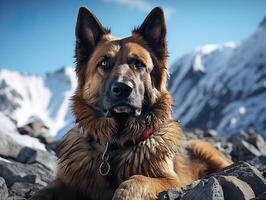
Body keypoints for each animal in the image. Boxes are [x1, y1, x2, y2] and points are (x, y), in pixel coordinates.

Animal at [30, 6, 232, 200]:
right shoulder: (65, 182)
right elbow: (42, 193)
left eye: (138, 64)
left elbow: (136, 180)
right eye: (104, 64)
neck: (115, 146)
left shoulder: (172, 180)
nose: (122, 88)